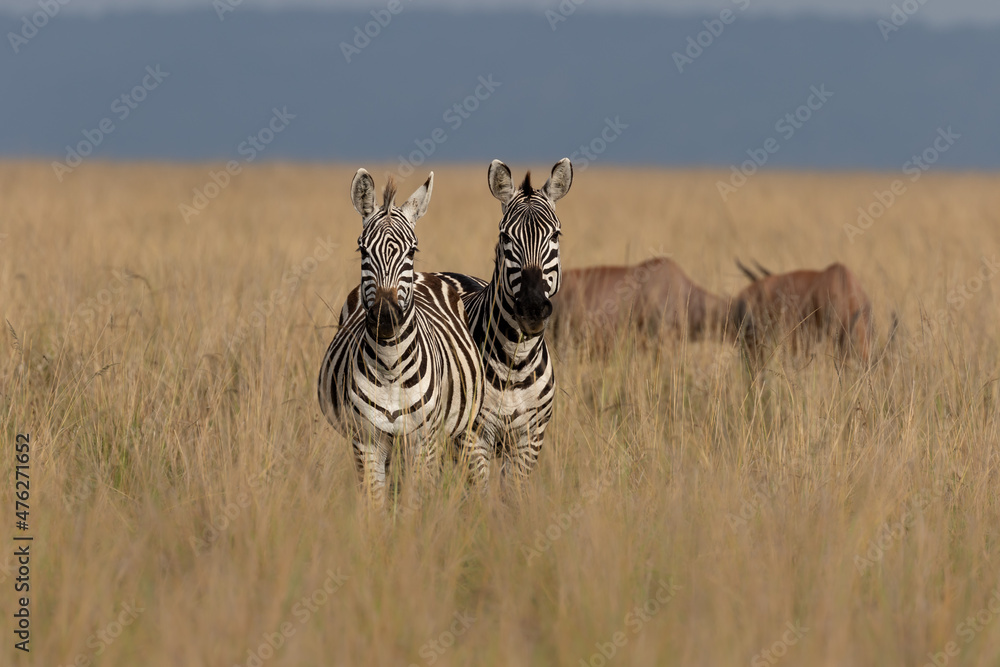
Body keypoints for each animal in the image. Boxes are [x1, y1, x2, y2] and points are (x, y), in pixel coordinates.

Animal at [317, 169, 484, 507]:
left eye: (412, 251)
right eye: (362, 250)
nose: (385, 314)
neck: (390, 366)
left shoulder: (423, 441)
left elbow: (415, 502)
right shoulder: (367, 441)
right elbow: (375, 504)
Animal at [443, 158, 573, 491]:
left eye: (555, 236)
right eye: (505, 238)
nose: (532, 308)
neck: (516, 362)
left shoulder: (530, 439)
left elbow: (512, 496)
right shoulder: (473, 438)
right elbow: (480, 495)